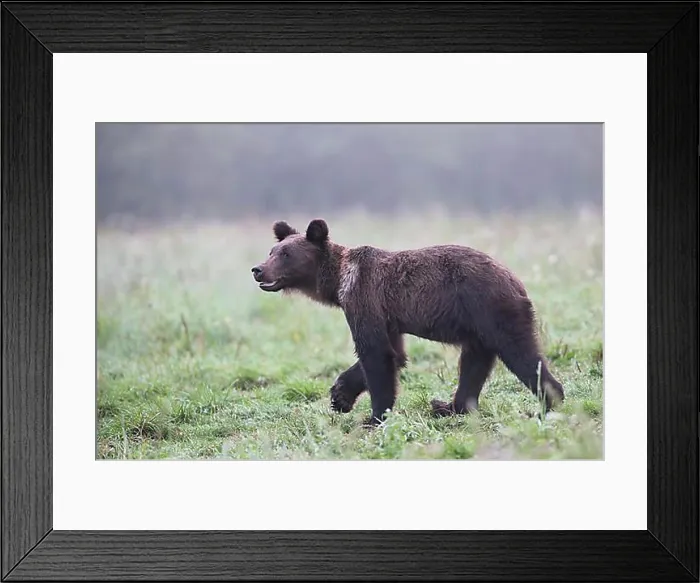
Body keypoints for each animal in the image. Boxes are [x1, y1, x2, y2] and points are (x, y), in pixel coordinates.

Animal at [252, 218, 564, 425]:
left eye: (286, 254)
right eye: (271, 251)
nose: (258, 270)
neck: (339, 282)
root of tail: (516, 280)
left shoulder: (364, 299)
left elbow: (376, 355)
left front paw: (374, 416)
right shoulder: (388, 317)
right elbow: (392, 353)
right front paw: (340, 396)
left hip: (492, 309)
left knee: (520, 354)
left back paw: (547, 404)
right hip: (478, 327)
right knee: (474, 365)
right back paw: (448, 407)